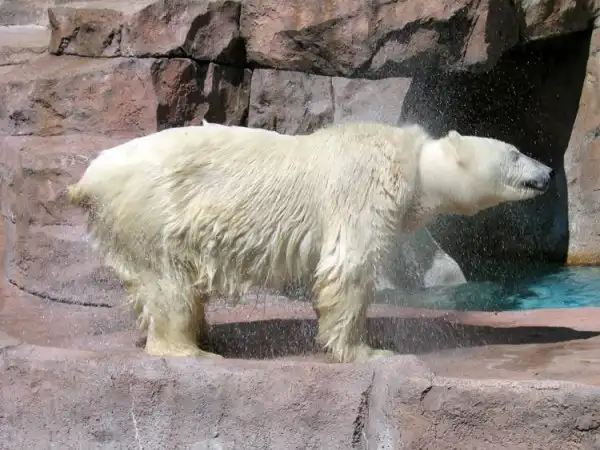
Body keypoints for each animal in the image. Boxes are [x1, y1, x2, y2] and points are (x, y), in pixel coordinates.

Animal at [66, 121, 554, 363]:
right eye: (515, 153)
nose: (548, 171)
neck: (413, 164)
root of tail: (88, 180)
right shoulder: (364, 186)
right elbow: (348, 266)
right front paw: (366, 350)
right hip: (153, 210)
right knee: (169, 284)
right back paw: (192, 349)